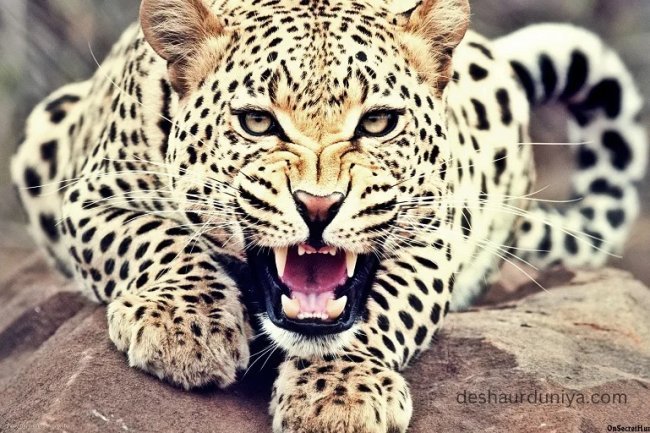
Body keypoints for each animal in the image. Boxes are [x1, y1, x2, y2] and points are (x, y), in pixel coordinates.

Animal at [11, 0, 647, 431]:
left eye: (378, 122)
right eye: (257, 122)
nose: (318, 205)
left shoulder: (432, 233)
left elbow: (381, 309)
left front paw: (339, 394)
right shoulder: (90, 195)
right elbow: (159, 238)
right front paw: (185, 327)